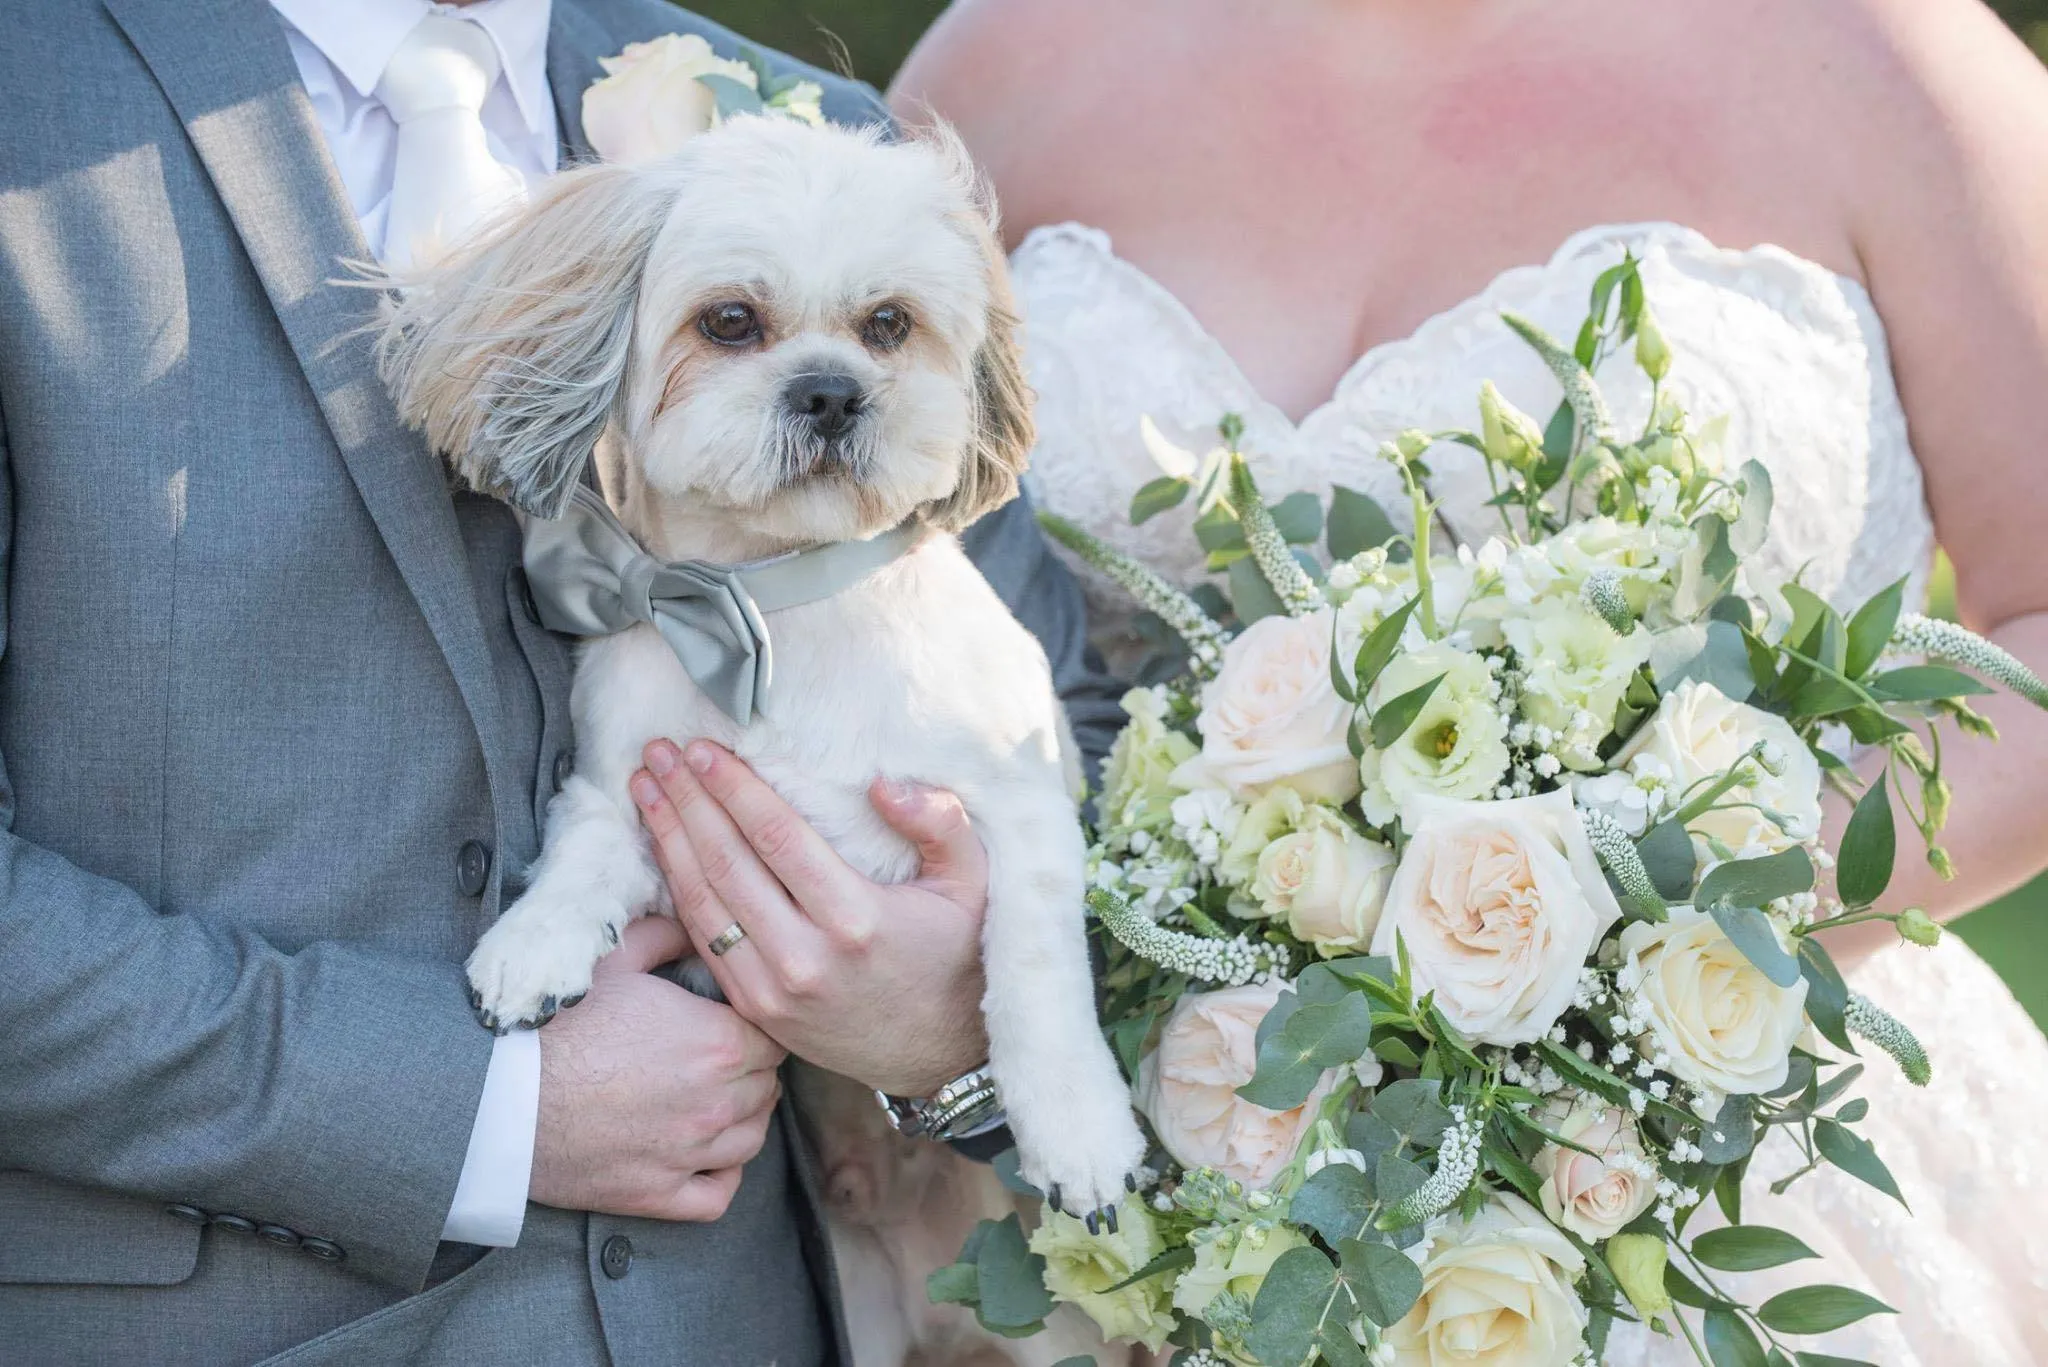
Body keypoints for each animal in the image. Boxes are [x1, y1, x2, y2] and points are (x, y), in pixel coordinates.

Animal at [380, 120, 1155, 1367]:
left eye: (887, 322)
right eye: (729, 321)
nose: (831, 391)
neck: (776, 605)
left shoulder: (1025, 805)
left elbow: (1033, 972)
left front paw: (1079, 1127)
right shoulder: (630, 783)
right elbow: (582, 859)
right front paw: (535, 944)